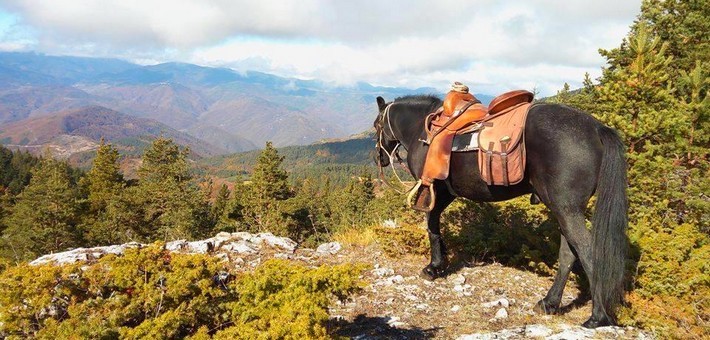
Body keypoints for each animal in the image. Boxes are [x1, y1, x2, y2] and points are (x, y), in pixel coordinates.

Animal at [372, 94, 628, 328]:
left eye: (376, 125)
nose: (378, 158)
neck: (422, 129)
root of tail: (596, 128)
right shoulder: (446, 194)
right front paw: (442, 261)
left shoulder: (433, 190)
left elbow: (432, 227)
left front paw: (434, 267)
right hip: (565, 209)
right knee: (568, 253)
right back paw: (550, 303)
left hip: (567, 209)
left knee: (587, 252)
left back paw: (597, 317)